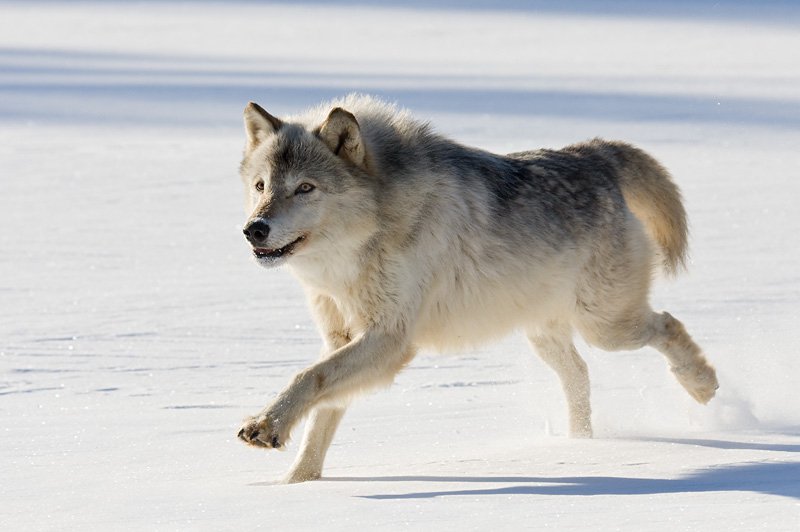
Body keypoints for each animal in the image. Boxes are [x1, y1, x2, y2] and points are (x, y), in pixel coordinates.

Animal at [233, 94, 720, 482]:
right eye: (260, 186)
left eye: (305, 188)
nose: (254, 230)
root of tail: (593, 154)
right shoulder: (341, 339)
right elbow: (321, 413)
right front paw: (295, 484)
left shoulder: (389, 339)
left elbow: (308, 377)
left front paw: (266, 428)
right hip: (546, 334)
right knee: (580, 375)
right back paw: (581, 444)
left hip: (606, 327)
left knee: (667, 324)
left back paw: (701, 385)